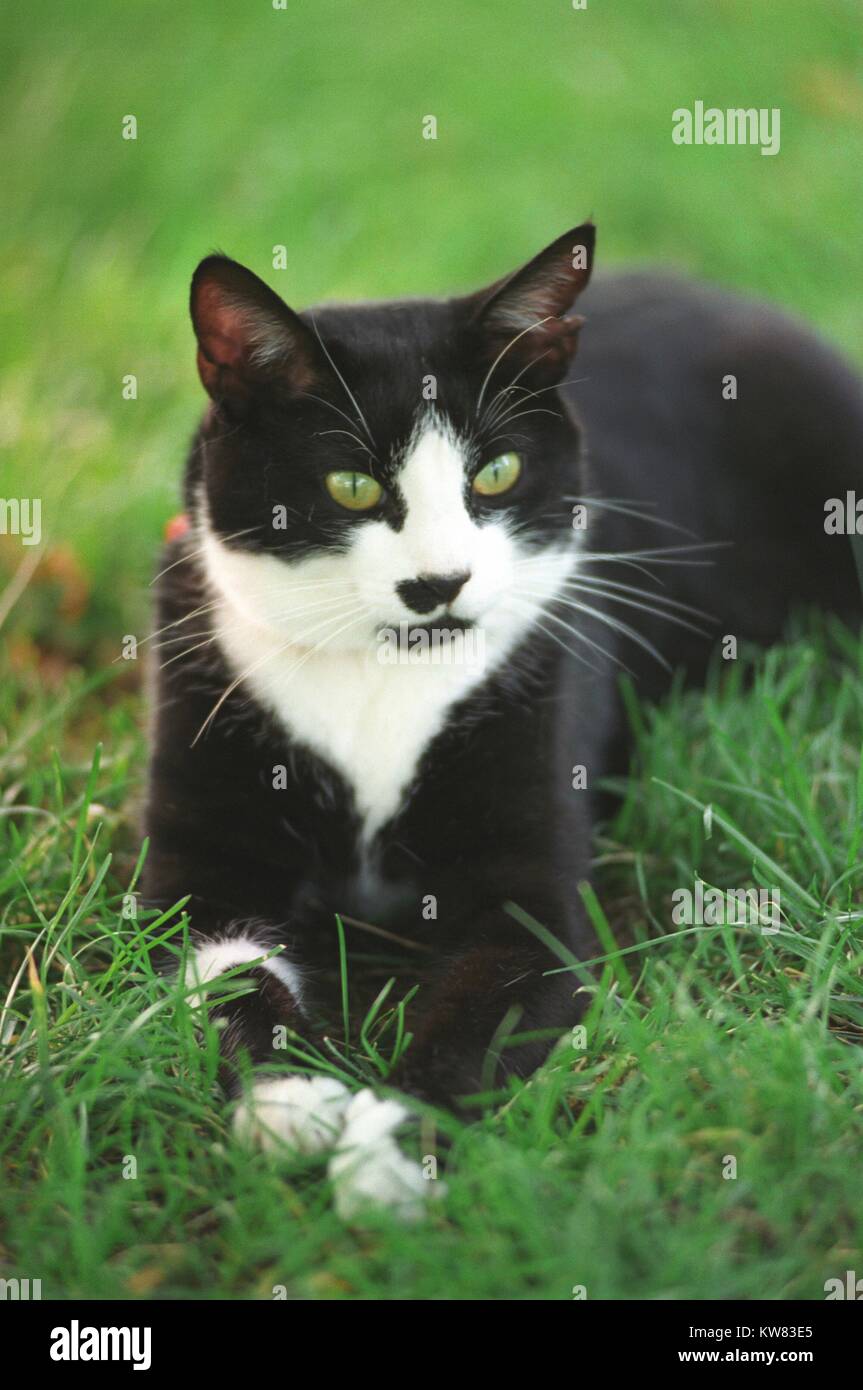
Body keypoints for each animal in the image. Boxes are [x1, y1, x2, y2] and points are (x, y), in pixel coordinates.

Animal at [143, 225, 861, 1217]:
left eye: (496, 472)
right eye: (350, 485)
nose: (438, 583)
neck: (386, 671)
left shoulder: (534, 865)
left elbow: (482, 1014)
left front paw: (391, 1150)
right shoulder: (198, 855)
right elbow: (222, 969)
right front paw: (292, 1100)